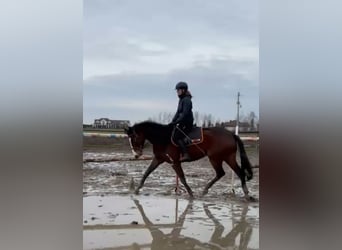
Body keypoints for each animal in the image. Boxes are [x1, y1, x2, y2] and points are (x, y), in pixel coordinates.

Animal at [125, 120, 254, 200]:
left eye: (134, 137)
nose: (136, 155)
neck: (163, 137)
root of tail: (231, 134)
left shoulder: (175, 162)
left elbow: (182, 178)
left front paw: (191, 194)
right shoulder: (158, 159)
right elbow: (147, 173)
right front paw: (136, 190)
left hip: (215, 158)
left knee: (222, 173)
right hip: (228, 157)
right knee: (237, 173)